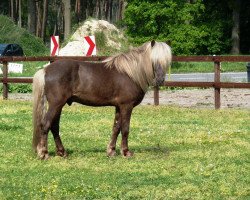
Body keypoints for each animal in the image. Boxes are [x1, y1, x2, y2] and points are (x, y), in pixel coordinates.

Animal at [32, 40, 172, 159]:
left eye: (167, 61)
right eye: (154, 60)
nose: (160, 80)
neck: (130, 73)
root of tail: (46, 70)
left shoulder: (118, 106)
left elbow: (116, 128)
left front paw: (111, 151)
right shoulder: (126, 106)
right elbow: (125, 129)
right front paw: (126, 152)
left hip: (59, 105)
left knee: (54, 126)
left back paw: (62, 152)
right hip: (56, 104)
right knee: (45, 125)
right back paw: (44, 153)